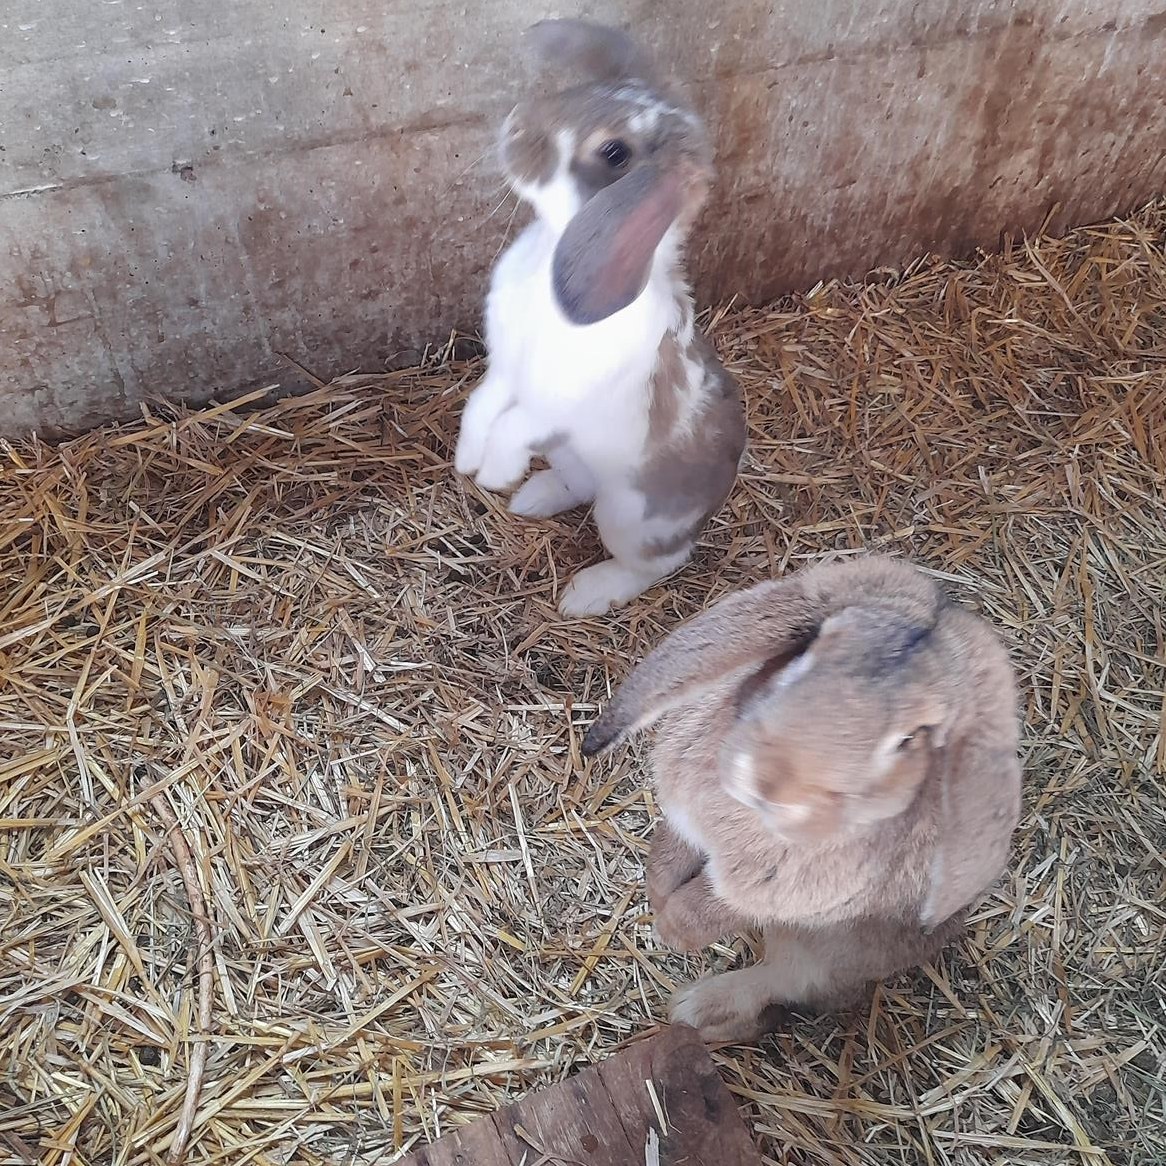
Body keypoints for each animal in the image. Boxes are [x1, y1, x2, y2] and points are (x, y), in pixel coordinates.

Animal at [453, 18, 745, 618]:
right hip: (572, 458)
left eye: (614, 151)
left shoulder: (554, 399)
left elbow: (513, 424)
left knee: (659, 561)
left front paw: (493, 472)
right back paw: (532, 497)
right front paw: (467, 461)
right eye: (587, 92)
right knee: (578, 487)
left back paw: (585, 594)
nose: (515, 124)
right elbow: (480, 405)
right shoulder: (505, 372)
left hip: (629, 519)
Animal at [582, 555, 1022, 1044]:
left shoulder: (773, 895)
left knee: (784, 981)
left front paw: (669, 930)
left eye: (909, 739)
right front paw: (656, 902)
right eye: (809, 650)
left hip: (823, 951)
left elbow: (705, 911)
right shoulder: (683, 822)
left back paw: (696, 1010)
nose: (767, 779)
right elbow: (666, 859)